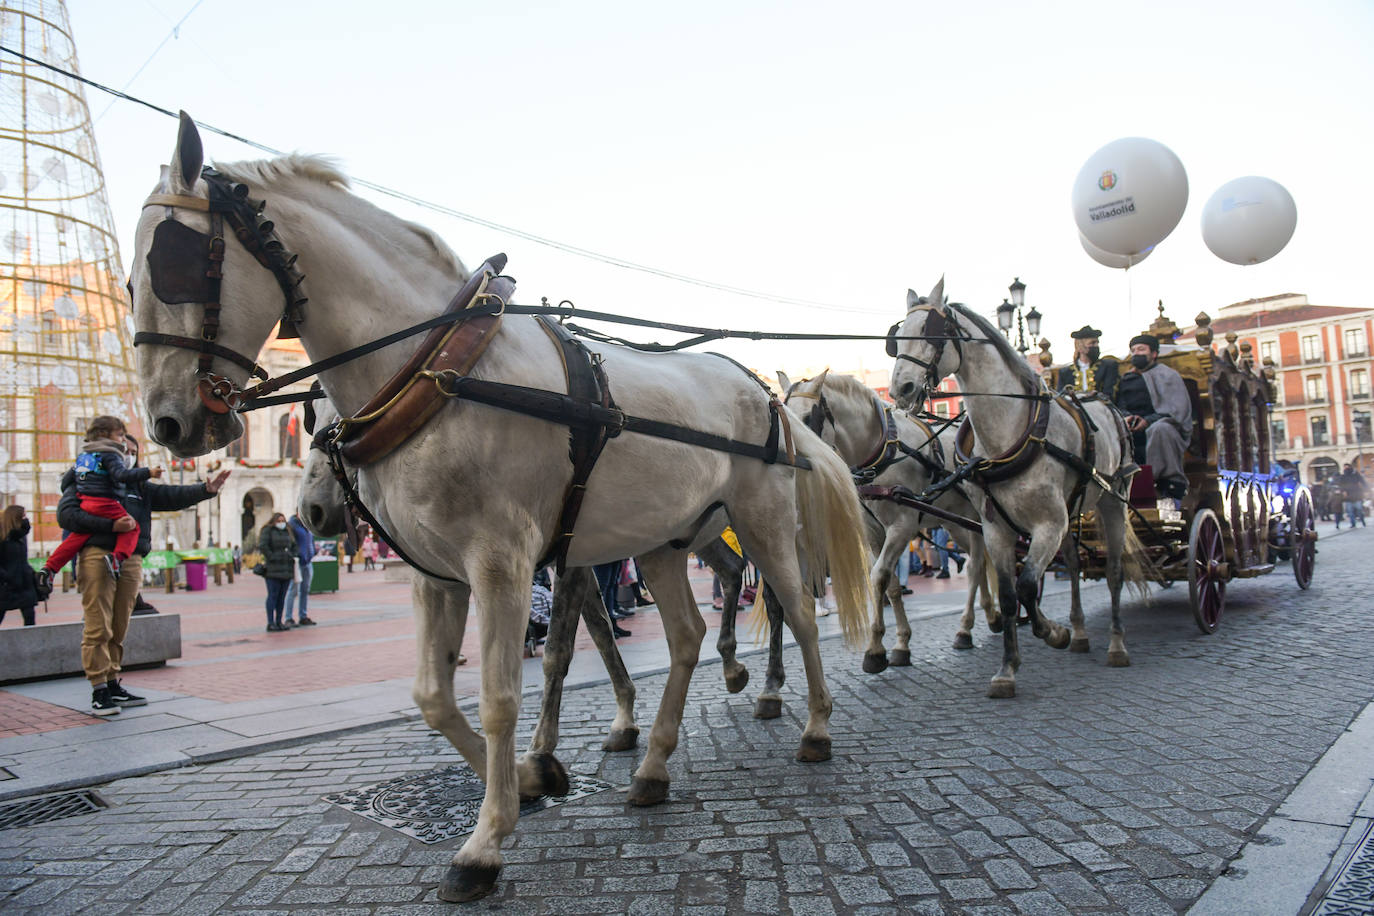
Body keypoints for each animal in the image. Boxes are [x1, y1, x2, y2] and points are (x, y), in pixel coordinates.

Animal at [131, 116, 868, 900]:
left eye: (171, 260)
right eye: (309, 416)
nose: (169, 423)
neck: (441, 371)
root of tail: (763, 391)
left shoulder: (503, 563)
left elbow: (502, 695)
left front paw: (485, 841)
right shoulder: (435, 572)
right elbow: (433, 695)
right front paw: (528, 776)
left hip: (762, 523)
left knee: (797, 610)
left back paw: (813, 727)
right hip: (662, 542)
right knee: (688, 635)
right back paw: (653, 768)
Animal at [780, 368, 994, 667]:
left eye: (809, 418)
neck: (881, 454)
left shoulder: (901, 526)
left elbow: (878, 576)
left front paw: (874, 649)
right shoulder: (873, 532)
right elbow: (889, 584)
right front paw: (900, 644)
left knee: (977, 566)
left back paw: (969, 626)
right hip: (955, 523)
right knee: (981, 562)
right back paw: (990, 616)